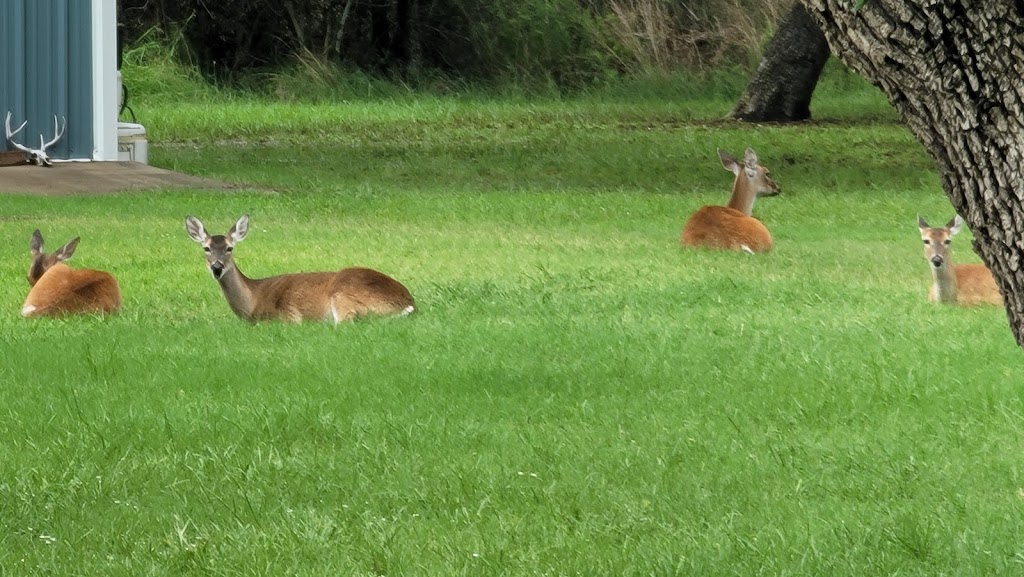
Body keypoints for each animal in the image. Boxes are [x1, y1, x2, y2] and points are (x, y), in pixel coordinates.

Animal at [184, 215, 415, 325]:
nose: (217, 267)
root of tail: (409, 303)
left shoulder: (286, 316)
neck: (252, 302)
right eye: (206, 248)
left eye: (229, 248)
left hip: (344, 295)